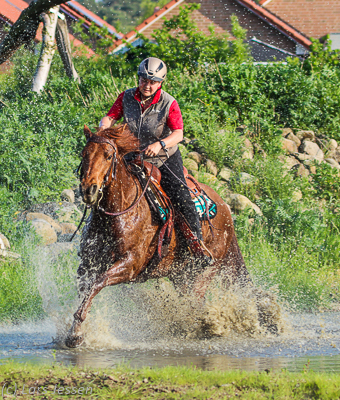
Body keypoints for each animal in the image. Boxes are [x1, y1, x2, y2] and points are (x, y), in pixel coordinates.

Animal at [65, 124, 252, 346]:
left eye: (108, 156)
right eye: (84, 154)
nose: (89, 189)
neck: (119, 211)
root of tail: (225, 209)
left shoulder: (130, 264)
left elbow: (97, 283)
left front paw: (76, 333)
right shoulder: (87, 263)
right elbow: (84, 289)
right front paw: (74, 332)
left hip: (204, 272)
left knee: (196, 302)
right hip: (182, 275)